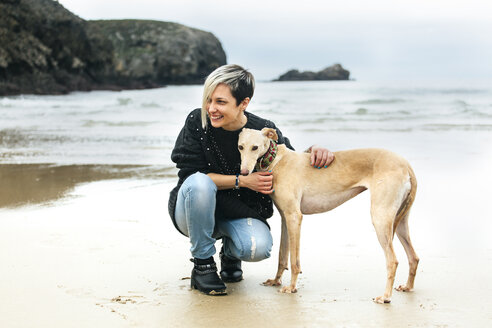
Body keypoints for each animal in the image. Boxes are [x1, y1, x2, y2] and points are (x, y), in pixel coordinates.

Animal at [238, 127, 418, 304]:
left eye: (255, 147)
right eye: (240, 147)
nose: (244, 173)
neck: (277, 160)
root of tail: (406, 165)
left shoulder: (294, 217)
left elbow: (295, 261)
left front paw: (292, 287)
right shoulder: (285, 218)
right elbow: (282, 256)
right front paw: (276, 281)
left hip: (380, 217)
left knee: (392, 261)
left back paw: (385, 296)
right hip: (400, 221)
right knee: (414, 257)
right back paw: (407, 287)